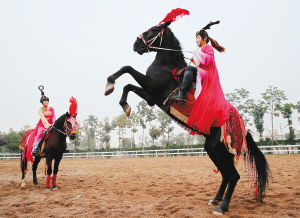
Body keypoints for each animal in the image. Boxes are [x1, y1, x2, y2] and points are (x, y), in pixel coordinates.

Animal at [105, 11, 270, 215]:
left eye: (153, 29)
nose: (136, 44)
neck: (167, 66)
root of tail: (241, 126)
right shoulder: (151, 96)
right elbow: (128, 84)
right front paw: (124, 103)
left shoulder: (151, 87)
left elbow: (126, 69)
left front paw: (110, 85)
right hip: (214, 149)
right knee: (226, 175)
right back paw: (215, 199)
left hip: (217, 148)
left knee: (233, 176)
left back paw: (222, 207)